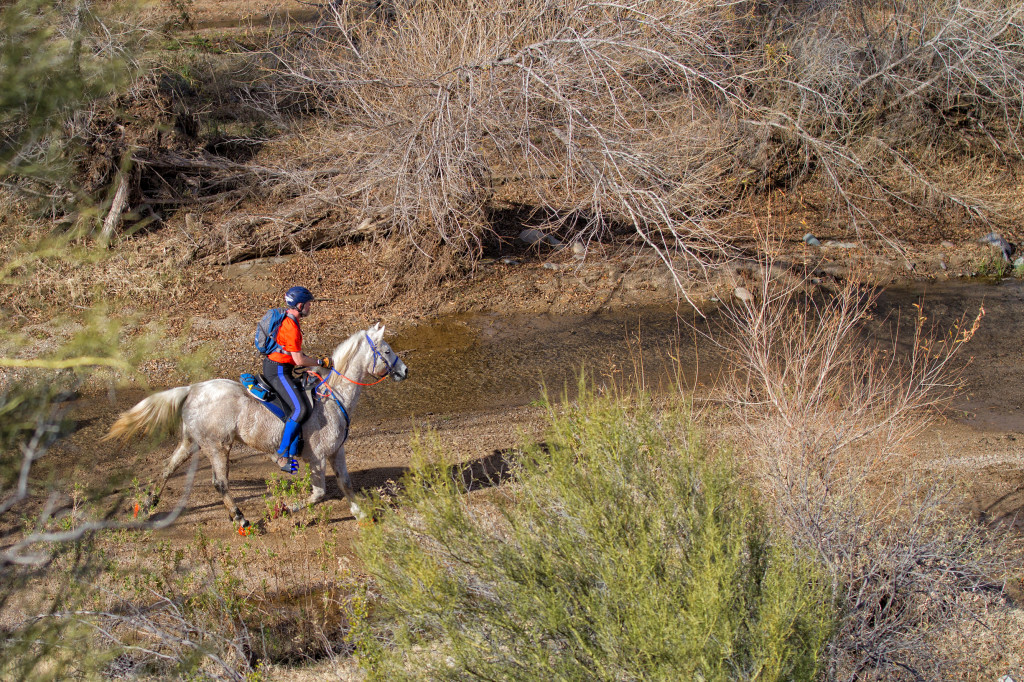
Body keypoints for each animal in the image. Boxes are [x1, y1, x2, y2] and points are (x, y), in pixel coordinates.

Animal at [102, 323, 407, 524]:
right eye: (387, 350)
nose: (405, 370)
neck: (333, 397)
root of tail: (193, 388)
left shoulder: (336, 452)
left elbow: (345, 483)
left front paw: (360, 513)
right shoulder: (318, 457)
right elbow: (318, 494)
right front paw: (285, 509)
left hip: (191, 442)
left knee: (167, 468)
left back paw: (148, 504)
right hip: (218, 446)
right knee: (220, 483)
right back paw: (240, 518)